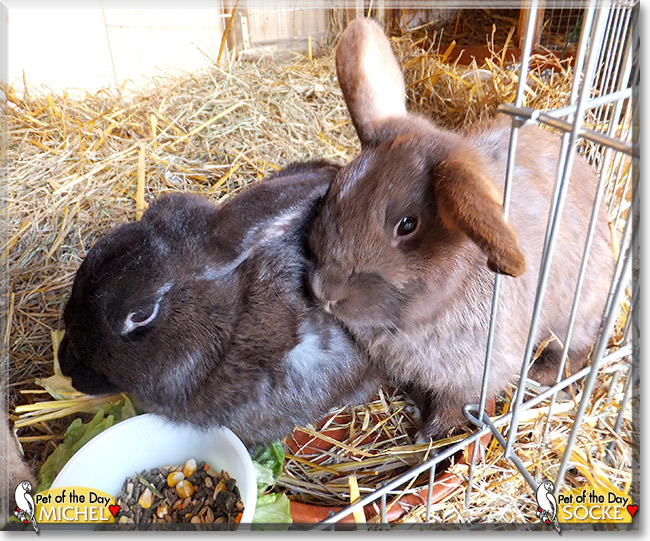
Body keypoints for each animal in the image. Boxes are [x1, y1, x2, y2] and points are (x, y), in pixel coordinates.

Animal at [306, 18, 615, 441]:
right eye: (333, 192)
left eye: (407, 225)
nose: (326, 293)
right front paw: (416, 410)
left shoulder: (472, 374)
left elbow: (453, 405)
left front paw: (429, 435)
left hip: (577, 313)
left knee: (573, 351)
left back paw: (543, 376)